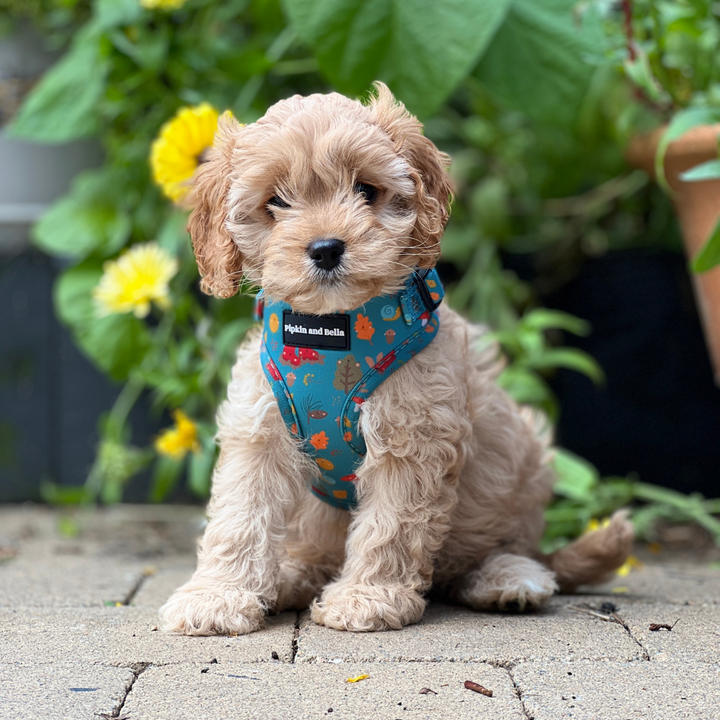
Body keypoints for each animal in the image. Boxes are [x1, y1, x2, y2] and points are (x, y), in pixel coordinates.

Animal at [160, 86, 632, 636]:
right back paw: (291, 578)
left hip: (524, 466)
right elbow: (238, 517)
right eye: (275, 200)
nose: (326, 248)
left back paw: (508, 579)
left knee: (508, 551)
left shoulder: (413, 439)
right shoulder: (257, 431)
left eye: (366, 189)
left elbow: (390, 525)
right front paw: (216, 597)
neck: (331, 333)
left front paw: (366, 599)